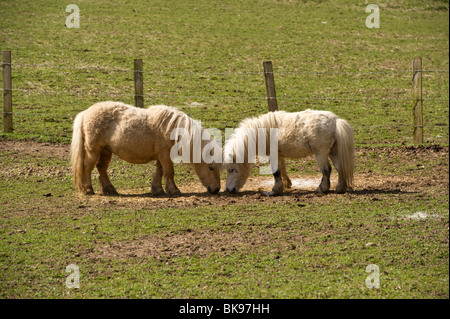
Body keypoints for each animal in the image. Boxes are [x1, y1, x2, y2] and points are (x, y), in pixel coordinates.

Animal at [70, 102, 221, 198]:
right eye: (211, 167)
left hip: (106, 151)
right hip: (93, 150)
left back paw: (110, 189)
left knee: (101, 169)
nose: (216, 189)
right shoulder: (165, 155)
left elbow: (160, 172)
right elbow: (169, 172)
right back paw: (88, 189)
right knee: (87, 168)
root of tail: (85, 113)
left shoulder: (162, 156)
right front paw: (174, 190)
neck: (173, 129)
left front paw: (158, 189)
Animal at [225, 109, 356, 195]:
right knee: (339, 168)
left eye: (232, 170)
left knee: (326, 170)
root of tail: (336, 121)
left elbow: (276, 172)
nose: (228, 190)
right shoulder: (279, 155)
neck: (265, 132)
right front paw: (285, 185)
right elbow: (281, 170)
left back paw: (321, 189)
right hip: (333, 152)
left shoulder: (274, 155)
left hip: (321, 153)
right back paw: (340, 188)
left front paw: (274, 191)